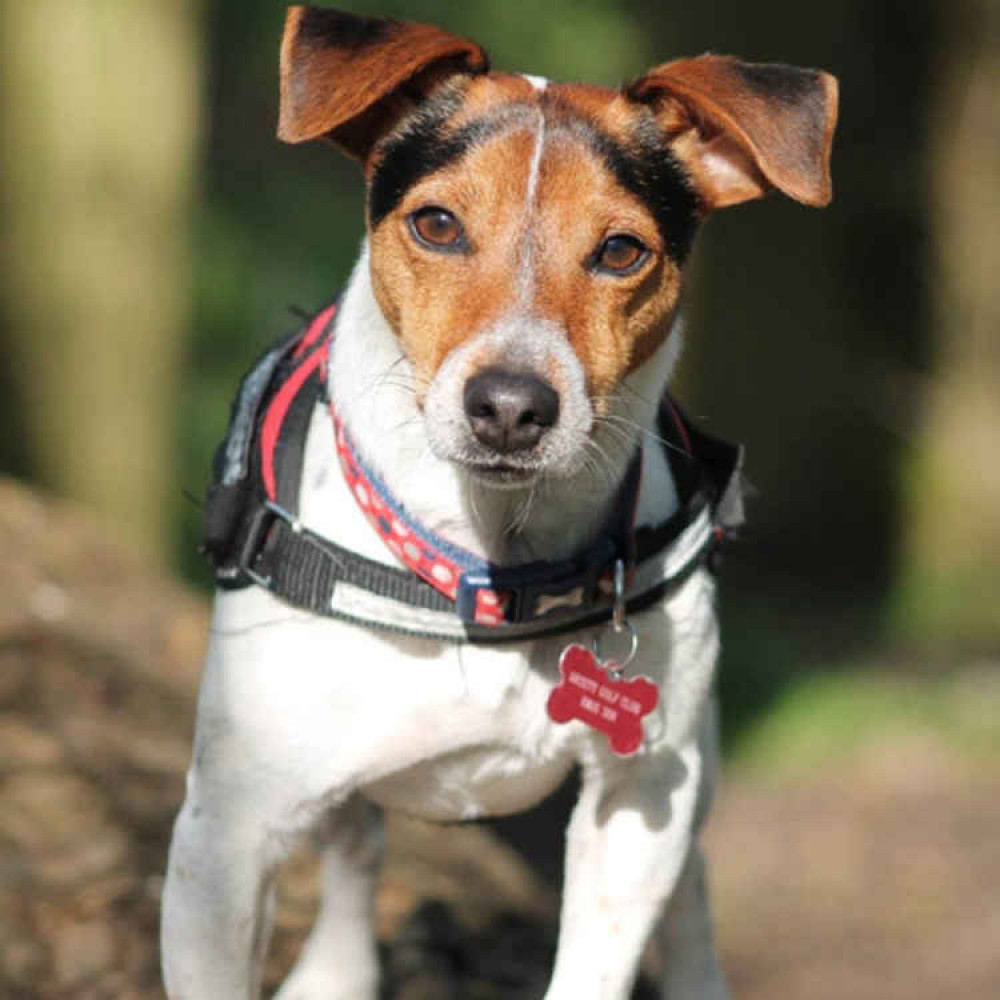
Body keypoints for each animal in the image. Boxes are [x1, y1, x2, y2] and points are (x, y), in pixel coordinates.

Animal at [162, 9, 836, 1000]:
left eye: (622, 250)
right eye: (437, 224)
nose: (513, 406)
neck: (486, 571)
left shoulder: (637, 802)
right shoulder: (225, 837)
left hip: (693, 770)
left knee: (692, 891)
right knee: (355, 849)